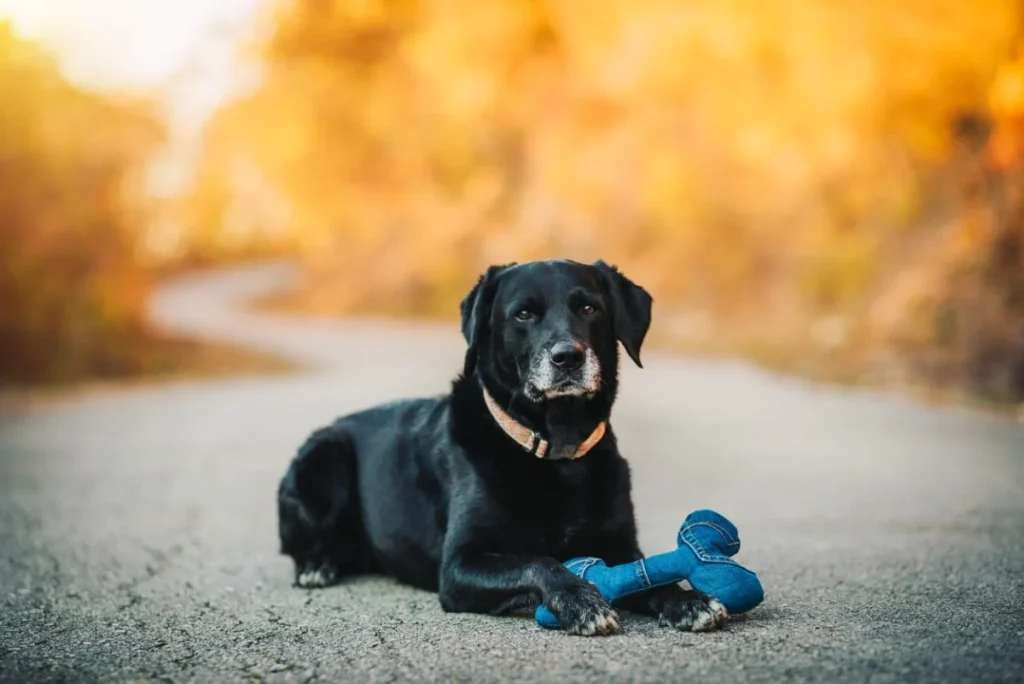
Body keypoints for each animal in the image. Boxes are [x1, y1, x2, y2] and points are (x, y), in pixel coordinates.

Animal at [278, 258, 729, 634]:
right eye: (523, 314)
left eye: (589, 309)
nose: (568, 357)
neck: (557, 448)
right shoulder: (460, 567)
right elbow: (540, 562)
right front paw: (580, 601)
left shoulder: (620, 546)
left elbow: (648, 574)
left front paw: (687, 600)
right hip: (324, 457)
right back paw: (317, 566)